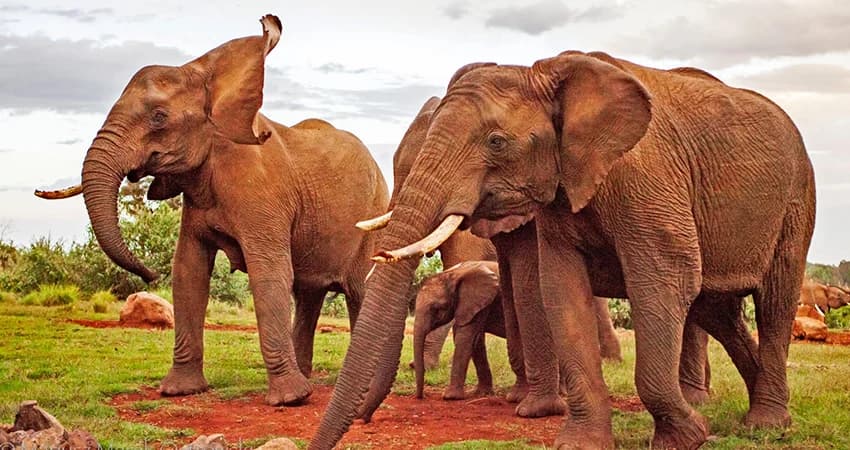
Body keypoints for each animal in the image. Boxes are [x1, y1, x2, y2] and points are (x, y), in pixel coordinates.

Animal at [36, 16, 389, 407]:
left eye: (159, 117)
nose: (149, 275)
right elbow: (188, 271)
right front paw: (179, 390)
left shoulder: (260, 190)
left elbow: (268, 273)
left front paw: (289, 400)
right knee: (308, 294)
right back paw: (308, 377)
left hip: (375, 217)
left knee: (359, 290)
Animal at [310, 50, 815, 450]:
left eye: (496, 141)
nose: (364, 420)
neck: (548, 73)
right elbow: (560, 287)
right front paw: (578, 440)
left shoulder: (646, 179)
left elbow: (665, 276)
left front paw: (684, 438)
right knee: (719, 310)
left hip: (796, 200)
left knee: (774, 301)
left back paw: (764, 424)